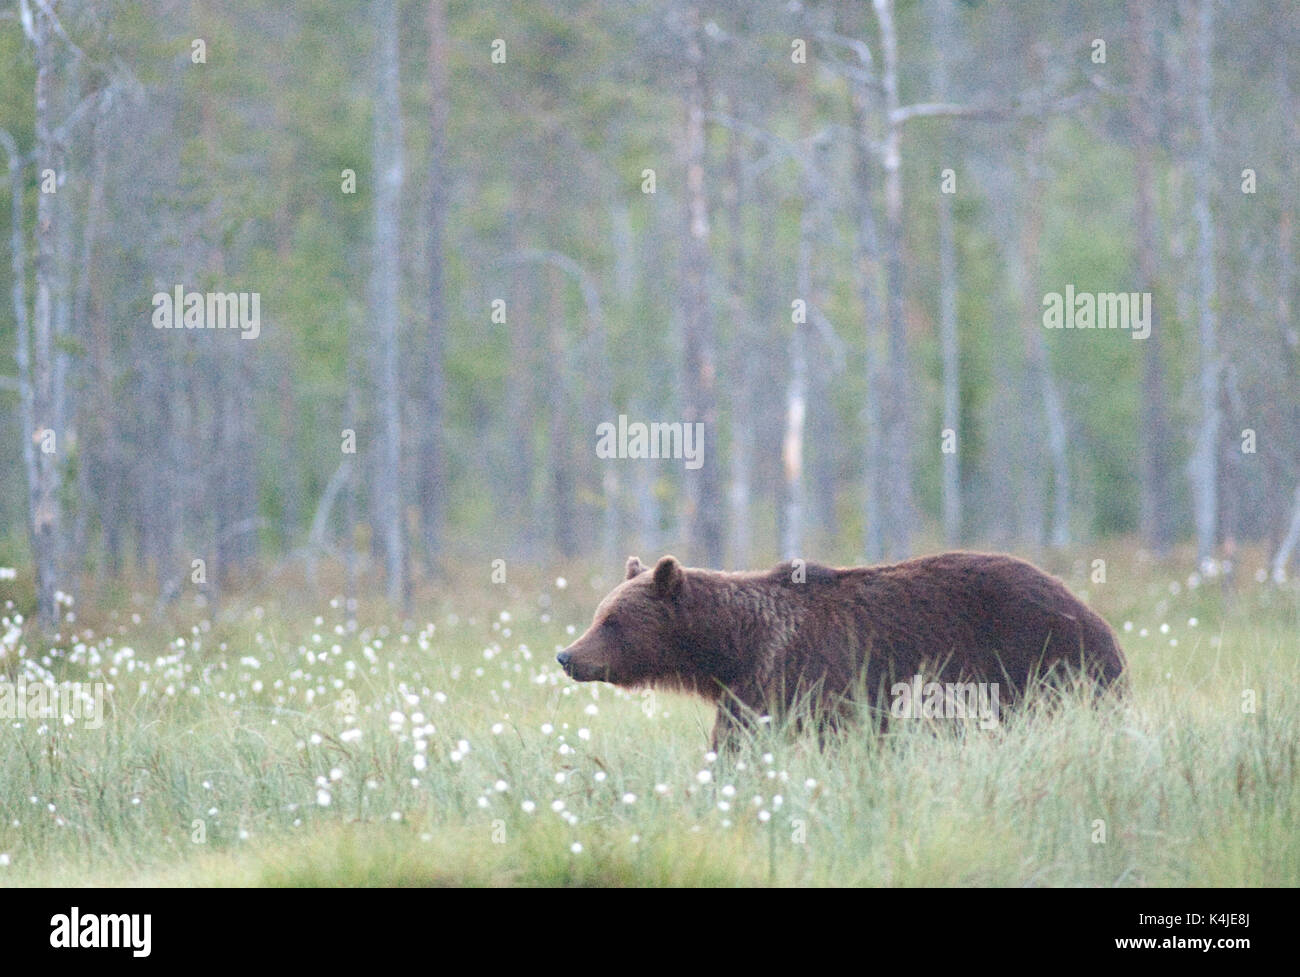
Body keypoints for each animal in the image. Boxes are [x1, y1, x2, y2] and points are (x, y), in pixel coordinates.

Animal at [559, 553, 1128, 753]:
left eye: (610, 621)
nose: (567, 655)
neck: (734, 649)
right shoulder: (751, 689)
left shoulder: (802, 677)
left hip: (1037, 663)